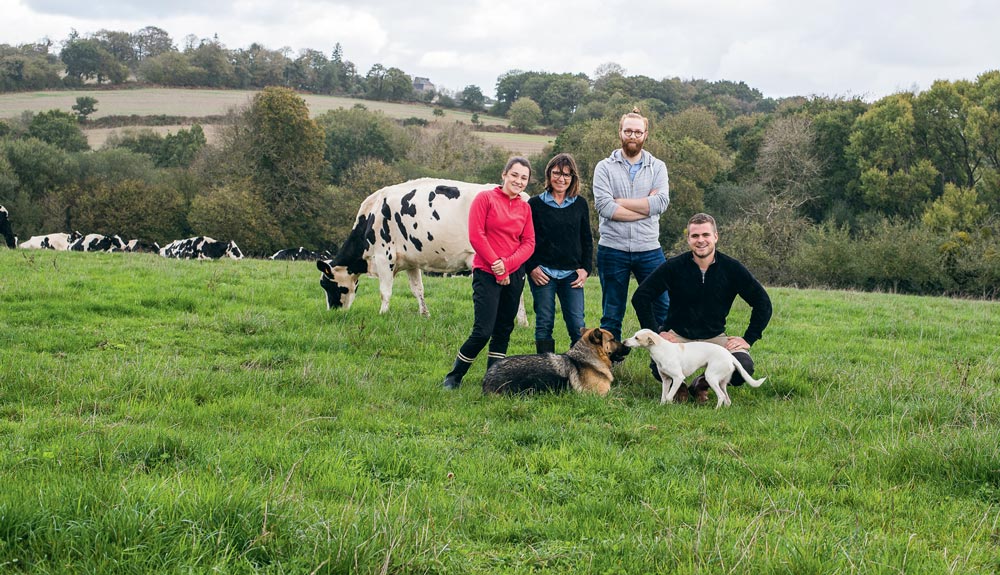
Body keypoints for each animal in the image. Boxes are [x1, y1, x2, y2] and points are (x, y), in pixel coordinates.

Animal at [318, 178, 532, 324]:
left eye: (326, 285)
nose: (332, 312)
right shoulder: (411, 262)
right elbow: (417, 290)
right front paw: (425, 315)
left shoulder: (384, 257)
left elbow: (385, 291)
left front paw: (382, 314)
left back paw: (521, 321)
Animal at [480, 328, 628, 396]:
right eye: (613, 339)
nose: (628, 347)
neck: (586, 359)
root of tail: (488, 376)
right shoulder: (600, 394)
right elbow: (618, 392)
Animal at [624, 328, 764, 410]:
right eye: (634, 335)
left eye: (636, 338)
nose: (624, 341)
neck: (660, 349)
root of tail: (729, 355)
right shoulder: (666, 380)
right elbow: (663, 397)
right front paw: (662, 407)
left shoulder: (677, 378)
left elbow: (669, 396)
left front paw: (669, 407)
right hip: (722, 382)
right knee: (727, 399)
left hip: (711, 378)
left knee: (721, 396)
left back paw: (716, 410)